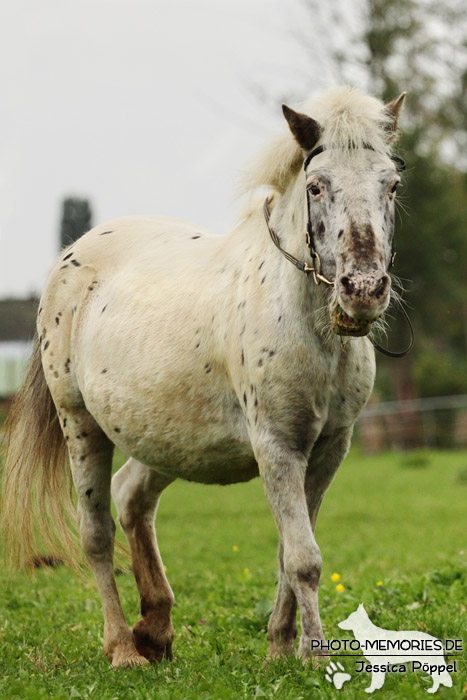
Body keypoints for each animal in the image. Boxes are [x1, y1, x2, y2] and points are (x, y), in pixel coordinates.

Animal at [1, 86, 406, 668]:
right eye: (316, 186)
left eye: (391, 184)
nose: (364, 290)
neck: (308, 327)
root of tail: (70, 256)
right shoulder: (278, 447)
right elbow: (303, 558)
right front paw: (314, 657)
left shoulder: (330, 449)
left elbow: (287, 554)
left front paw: (280, 648)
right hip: (80, 424)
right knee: (96, 534)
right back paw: (123, 647)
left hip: (168, 440)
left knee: (132, 497)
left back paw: (156, 629)